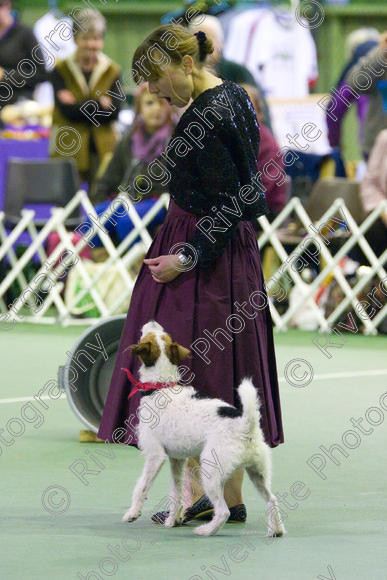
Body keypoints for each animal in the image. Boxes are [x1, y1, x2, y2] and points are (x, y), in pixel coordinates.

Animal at [123, 320, 286, 536]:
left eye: (148, 336)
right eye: (163, 336)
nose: (152, 321)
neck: (160, 386)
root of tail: (246, 426)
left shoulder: (155, 456)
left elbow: (142, 486)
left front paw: (133, 513)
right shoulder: (177, 460)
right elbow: (176, 491)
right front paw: (173, 519)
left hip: (211, 473)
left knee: (223, 511)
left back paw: (206, 530)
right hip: (258, 473)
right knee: (272, 499)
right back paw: (276, 530)